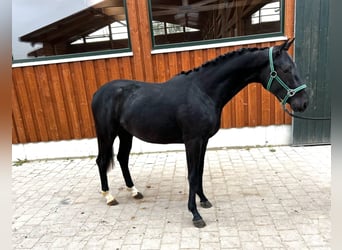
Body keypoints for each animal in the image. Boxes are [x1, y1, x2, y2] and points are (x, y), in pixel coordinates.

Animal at [92, 38, 308, 227]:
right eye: (286, 69)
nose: (304, 102)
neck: (203, 91)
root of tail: (98, 93)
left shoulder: (203, 140)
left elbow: (200, 172)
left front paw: (204, 200)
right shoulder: (193, 141)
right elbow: (192, 174)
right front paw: (195, 214)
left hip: (125, 133)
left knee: (122, 158)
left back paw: (134, 191)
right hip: (106, 134)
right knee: (102, 161)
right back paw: (109, 196)